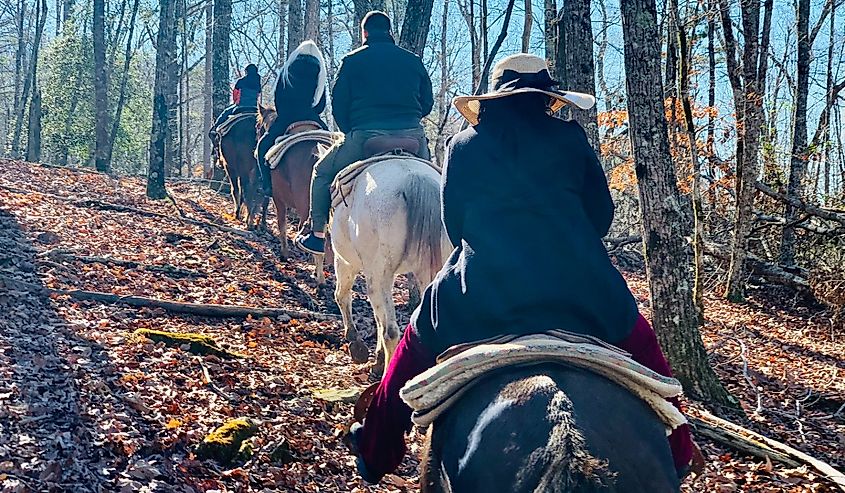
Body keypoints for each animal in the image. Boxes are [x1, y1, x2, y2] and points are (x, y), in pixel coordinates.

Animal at [254, 105, 326, 282]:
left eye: (258, 127)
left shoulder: (279, 200)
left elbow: (282, 225)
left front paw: (284, 254)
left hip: (306, 206)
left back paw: (319, 278)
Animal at [328, 158, 452, 372]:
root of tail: (414, 178)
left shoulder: (344, 261)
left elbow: (342, 296)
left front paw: (357, 346)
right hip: (428, 271)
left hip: (378, 275)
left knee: (390, 330)